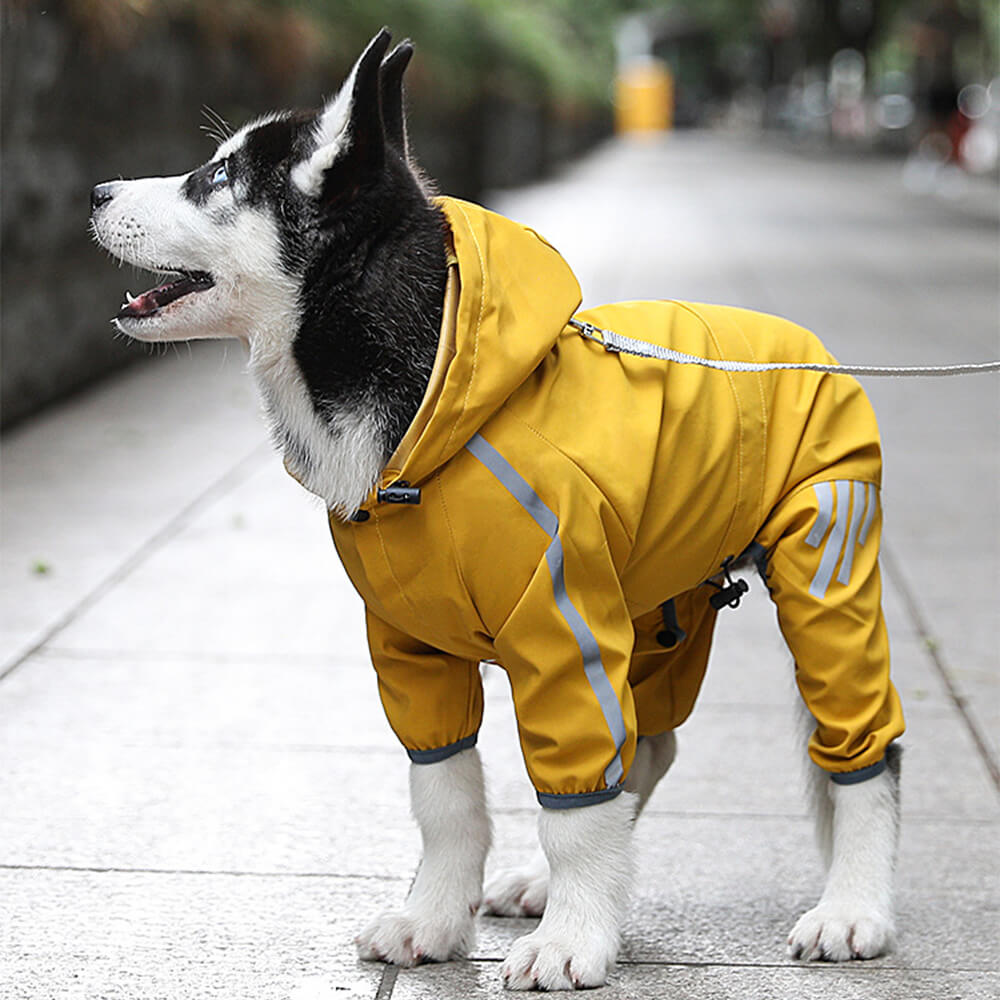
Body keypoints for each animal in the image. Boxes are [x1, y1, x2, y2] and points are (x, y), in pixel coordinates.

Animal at [92, 29, 908, 992]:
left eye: (217, 176)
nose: (96, 192)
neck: (431, 396)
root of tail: (808, 348)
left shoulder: (563, 631)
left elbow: (575, 802)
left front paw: (574, 938)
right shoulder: (412, 648)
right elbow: (447, 794)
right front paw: (438, 919)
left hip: (825, 570)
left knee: (860, 747)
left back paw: (854, 907)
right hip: (657, 605)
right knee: (648, 746)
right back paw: (548, 883)